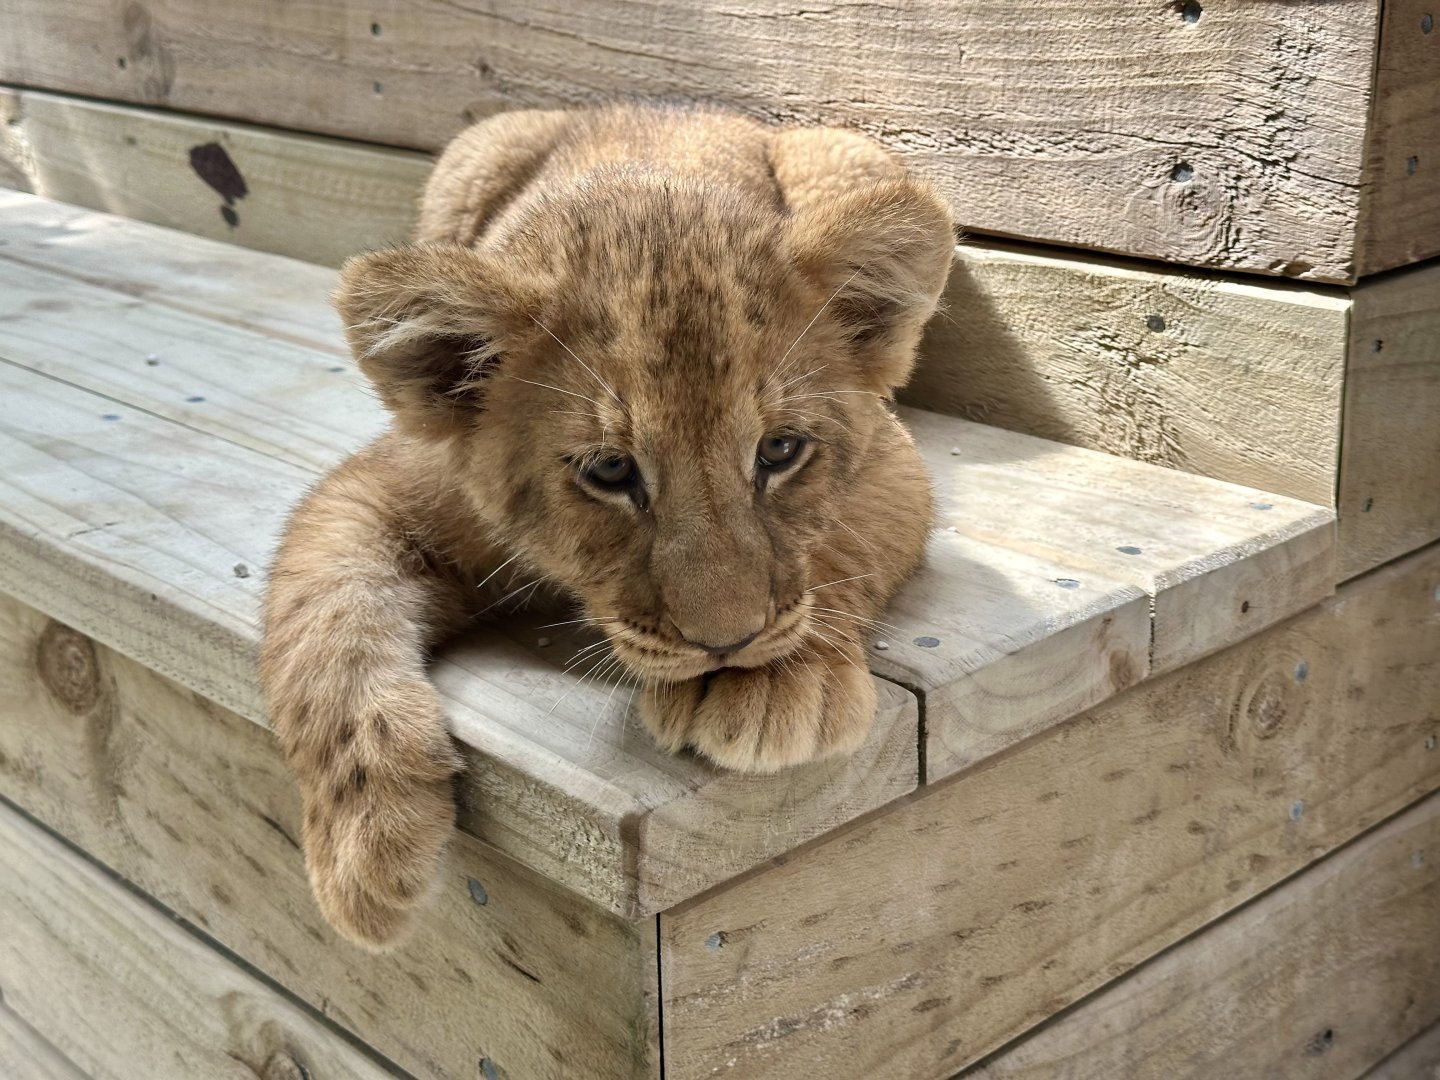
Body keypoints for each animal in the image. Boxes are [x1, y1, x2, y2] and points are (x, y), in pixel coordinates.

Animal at [260, 103, 953, 947]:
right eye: (611, 472)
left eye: (780, 451)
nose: (728, 644)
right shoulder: (375, 486)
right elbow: (322, 622)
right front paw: (362, 851)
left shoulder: (892, 456)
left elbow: (835, 547)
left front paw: (782, 679)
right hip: (473, 156)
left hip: (843, 152)